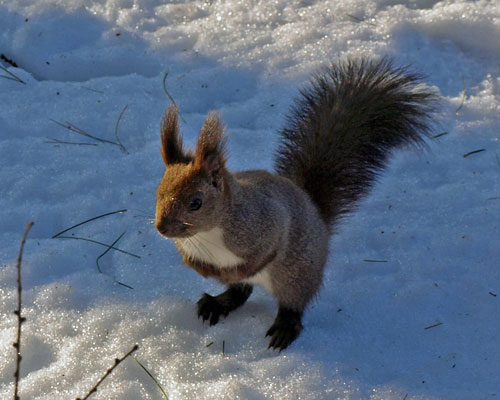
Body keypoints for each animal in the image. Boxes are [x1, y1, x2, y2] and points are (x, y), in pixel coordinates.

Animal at [154, 56, 436, 350]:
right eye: (158, 192)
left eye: (196, 203)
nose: (161, 228)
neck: (207, 233)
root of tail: (316, 213)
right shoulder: (187, 246)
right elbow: (191, 261)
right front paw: (203, 270)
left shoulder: (266, 222)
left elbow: (266, 252)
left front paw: (236, 271)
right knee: (240, 293)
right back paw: (216, 303)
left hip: (296, 277)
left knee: (290, 305)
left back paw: (284, 327)